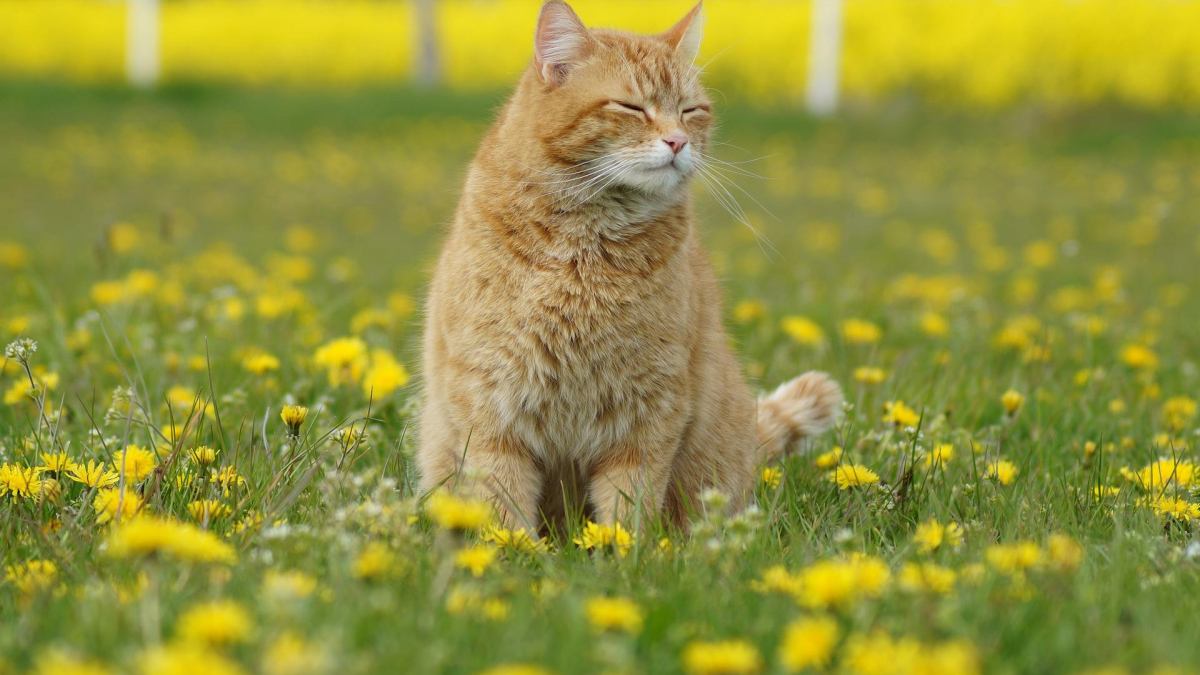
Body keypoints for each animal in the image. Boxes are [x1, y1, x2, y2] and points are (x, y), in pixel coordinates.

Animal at [420, 1, 844, 530]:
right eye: (631, 107)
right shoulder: (491, 403)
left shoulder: (649, 410)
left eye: (690, 110)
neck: (586, 247)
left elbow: (630, 506)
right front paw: (511, 548)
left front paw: (621, 548)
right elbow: (502, 504)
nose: (679, 141)